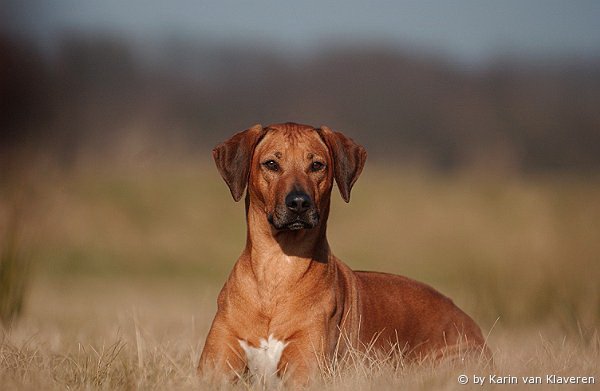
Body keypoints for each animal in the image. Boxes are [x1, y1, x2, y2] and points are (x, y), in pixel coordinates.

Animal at [197, 122, 488, 386]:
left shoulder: (305, 372)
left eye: (317, 165)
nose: (299, 203)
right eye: (271, 164)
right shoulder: (215, 369)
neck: (277, 271)